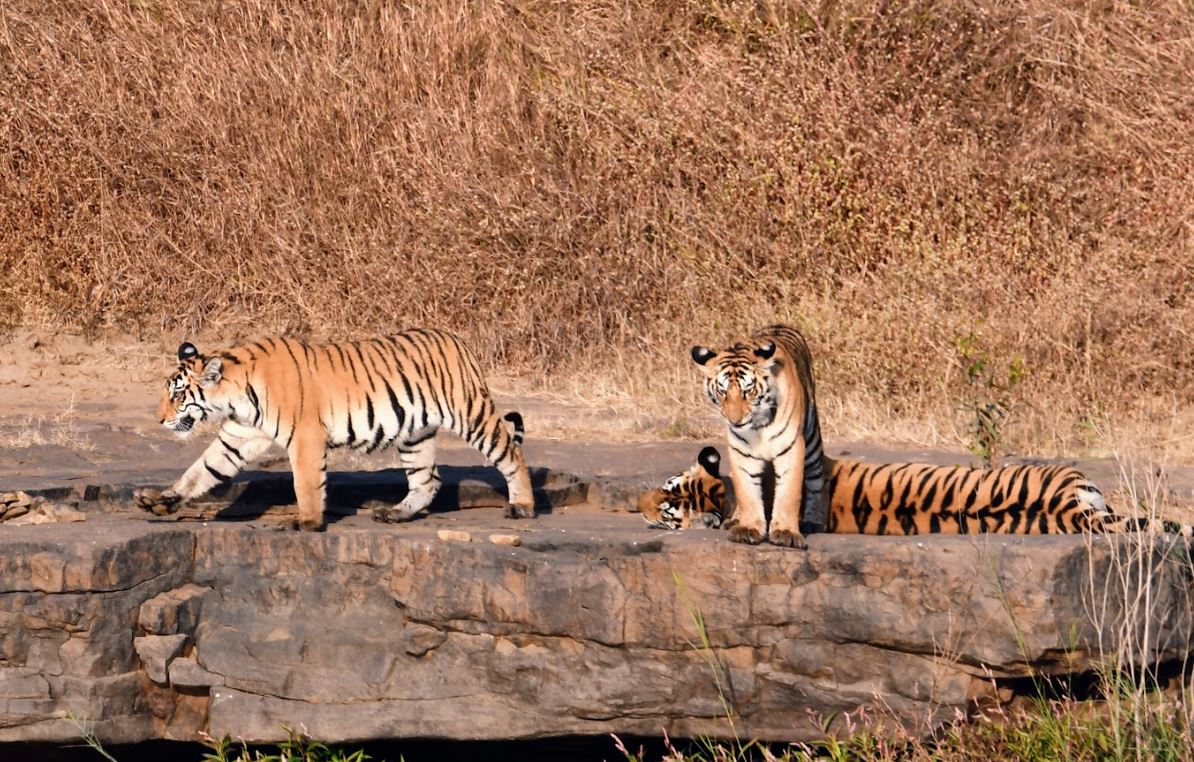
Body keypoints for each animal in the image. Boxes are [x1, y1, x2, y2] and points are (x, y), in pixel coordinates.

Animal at [134, 330, 535, 531]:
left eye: (178, 394)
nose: (159, 419)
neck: (236, 397)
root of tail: (457, 340)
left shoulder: (305, 437)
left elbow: (306, 483)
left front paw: (307, 523)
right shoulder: (239, 437)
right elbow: (199, 471)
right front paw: (161, 501)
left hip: (471, 414)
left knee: (511, 453)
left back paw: (523, 507)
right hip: (414, 434)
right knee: (427, 479)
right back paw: (396, 513)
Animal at [690, 324, 827, 548]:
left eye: (748, 391)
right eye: (722, 392)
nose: (735, 420)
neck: (758, 425)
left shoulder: (791, 447)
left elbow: (789, 493)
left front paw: (785, 532)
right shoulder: (742, 452)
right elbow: (746, 493)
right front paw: (748, 528)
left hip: (812, 442)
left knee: (817, 479)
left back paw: (813, 521)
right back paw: (735, 520)